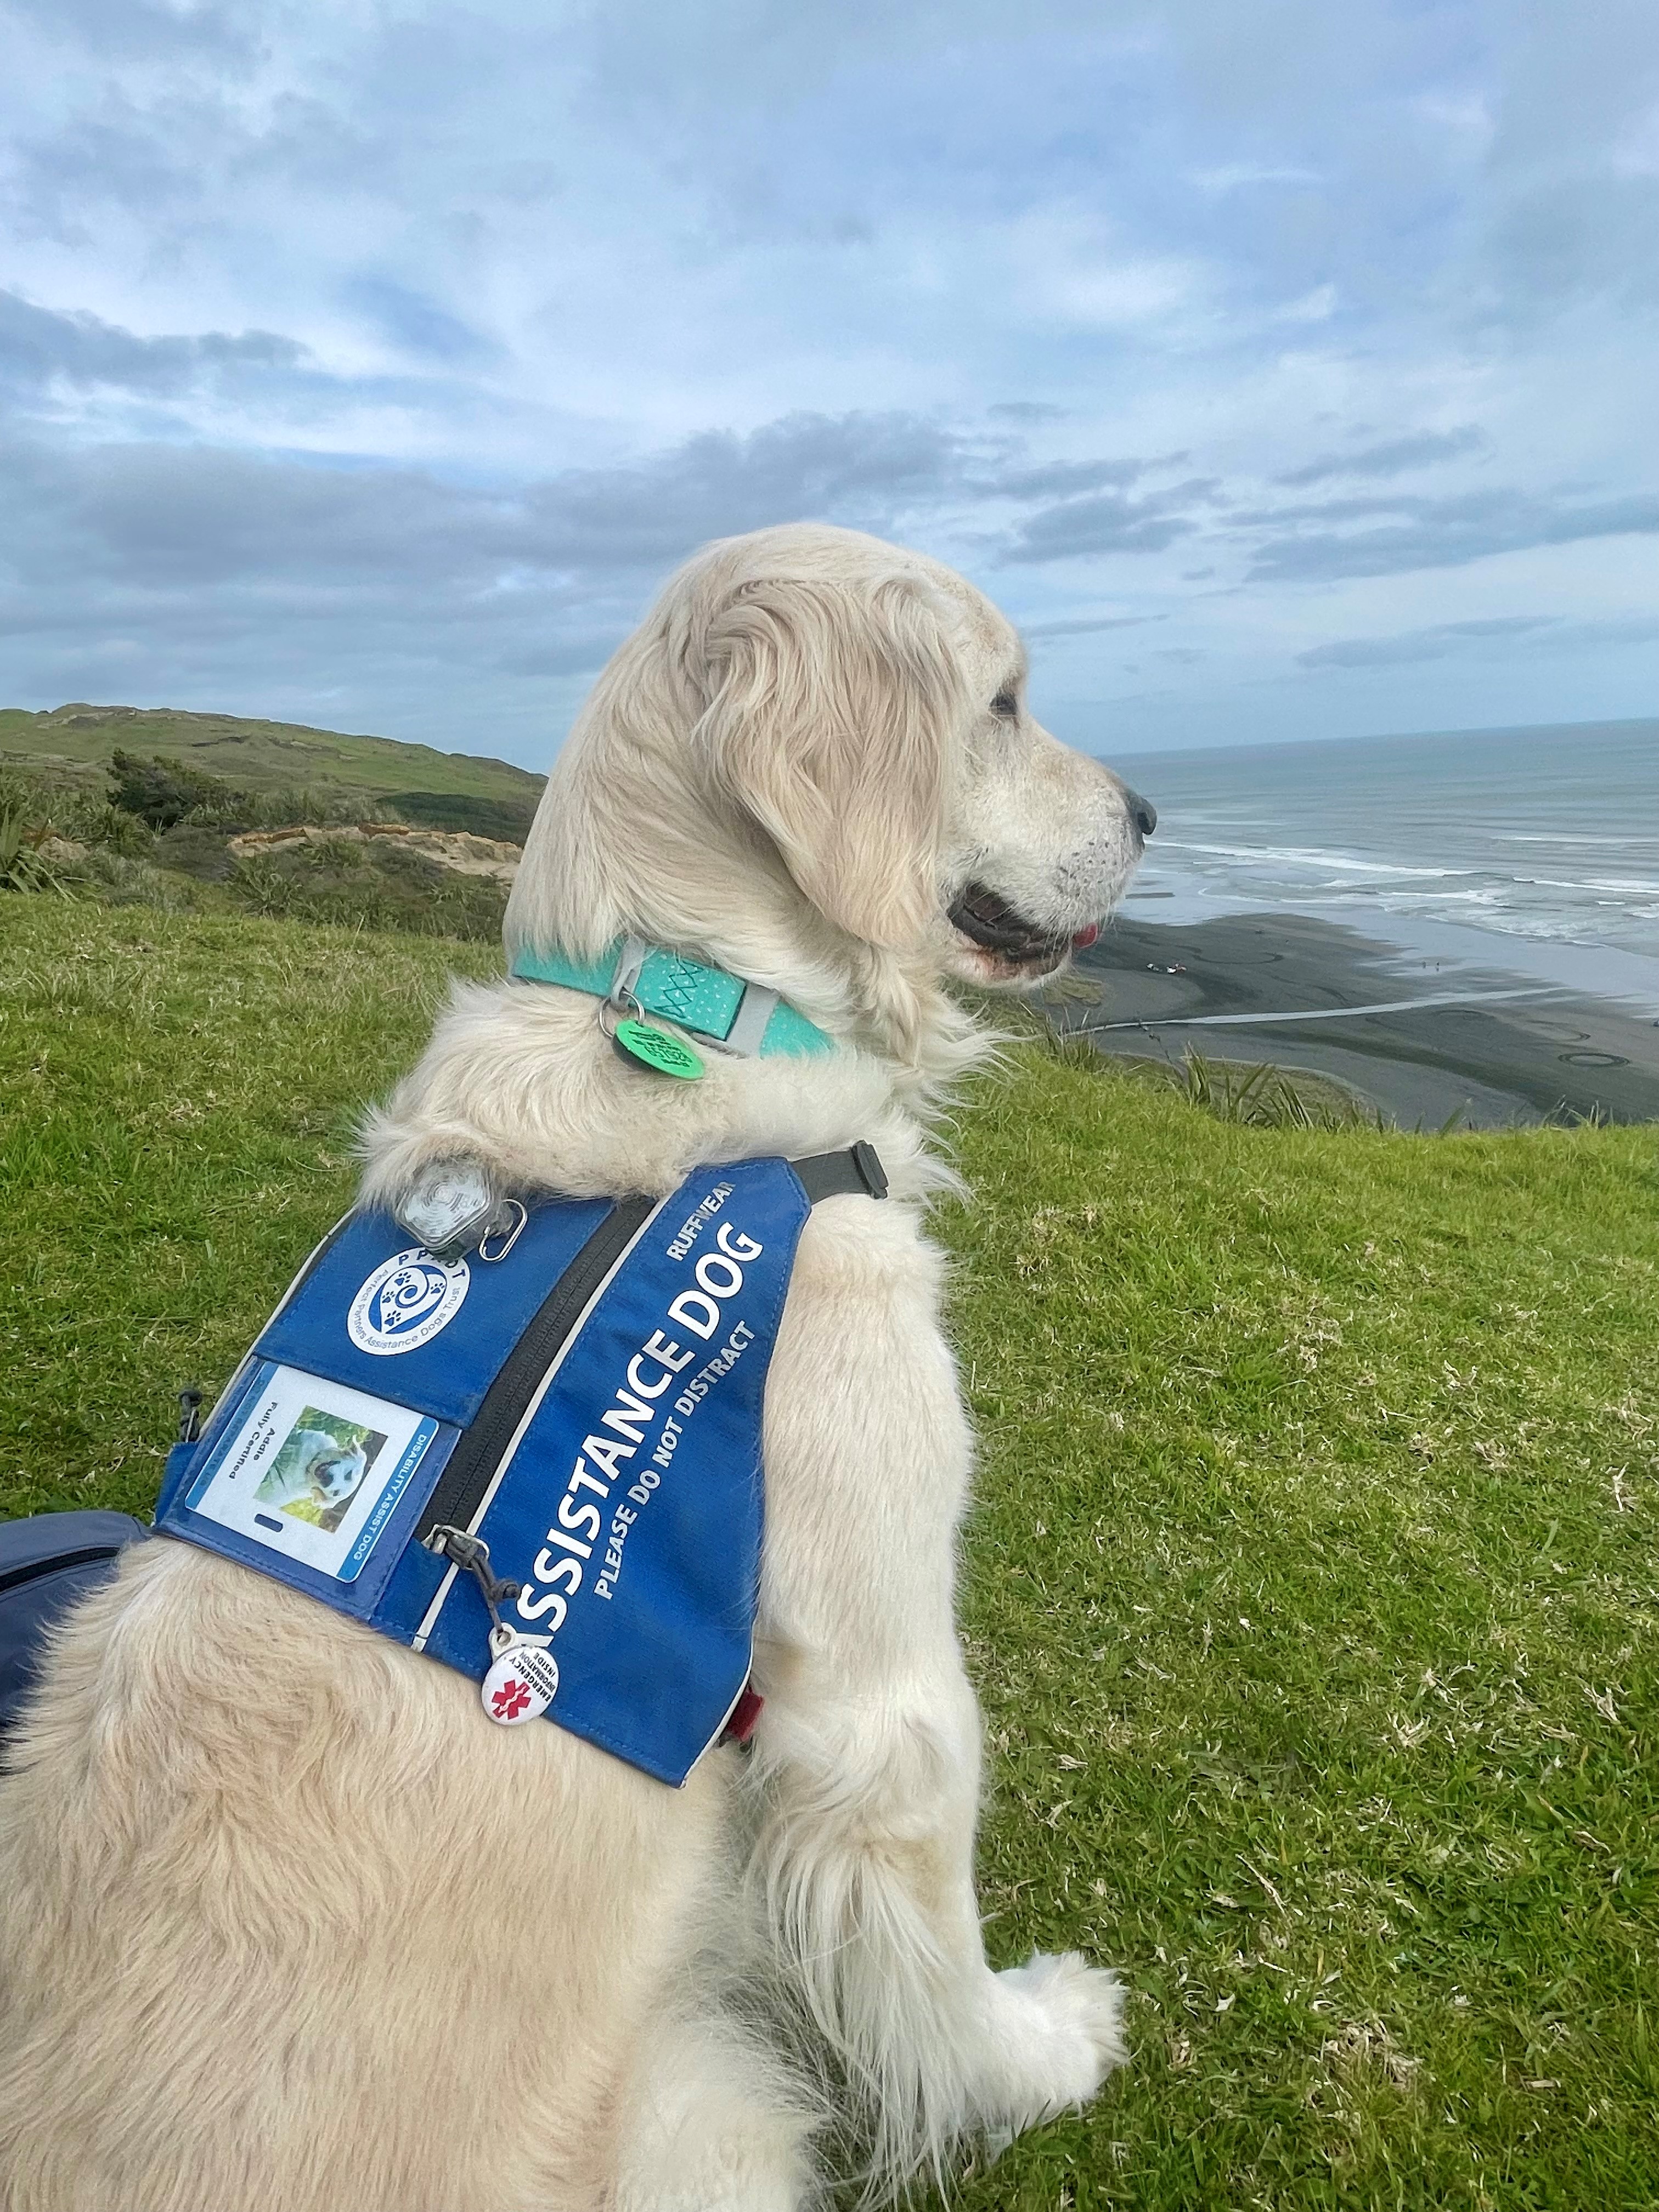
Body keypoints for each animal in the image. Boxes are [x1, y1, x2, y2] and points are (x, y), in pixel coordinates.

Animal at [0, 526, 1159, 2203]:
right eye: (1003, 703)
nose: (1152, 814)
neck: (691, 1007)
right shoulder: (887, 1691)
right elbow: (938, 1954)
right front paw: (1042, 2051)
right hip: (713, 2120)